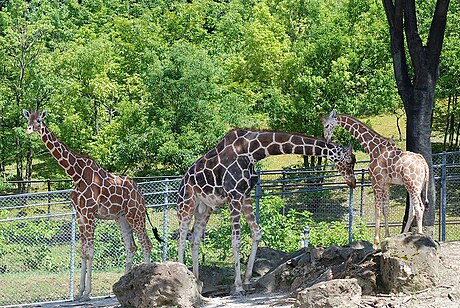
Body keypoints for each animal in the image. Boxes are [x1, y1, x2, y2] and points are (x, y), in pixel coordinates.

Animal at [24, 109, 163, 300]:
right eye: (28, 120)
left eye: (39, 120)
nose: (29, 130)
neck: (75, 174)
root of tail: (141, 193)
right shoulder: (80, 214)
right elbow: (83, 251)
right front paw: (79, 292)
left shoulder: (89, 213)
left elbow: (89, 252)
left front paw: (87, 293)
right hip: (121, 218)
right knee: (132, 246)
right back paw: (124, 285)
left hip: (136, 214)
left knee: (146, 243)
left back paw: (145, 284)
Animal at [176, 129, 356, 294]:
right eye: (349, 161)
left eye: (353, 161)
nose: (353, 182)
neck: (252, 151)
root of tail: (182, 181)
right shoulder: (234, 195)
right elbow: (236, 241)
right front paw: (238, 286)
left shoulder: (245, 195)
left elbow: (257, 233)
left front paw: (247, 281)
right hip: (186, 204)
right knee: (182, 237)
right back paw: (183, 274)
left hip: (205, 207)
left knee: (194, 238)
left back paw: (197, 282)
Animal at [322, 110, 430, 248]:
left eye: (327, 125)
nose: (326, 140)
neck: (372, 148)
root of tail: (424, 164)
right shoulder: (386, 184)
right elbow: (386, 209)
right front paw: (387, 237)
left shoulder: (376, 181)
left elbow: (377, 209)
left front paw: (375, 243)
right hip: (415, 186)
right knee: (413, 210)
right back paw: (403, 236)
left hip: (412, 184)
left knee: (419, 208)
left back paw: (420, 237)